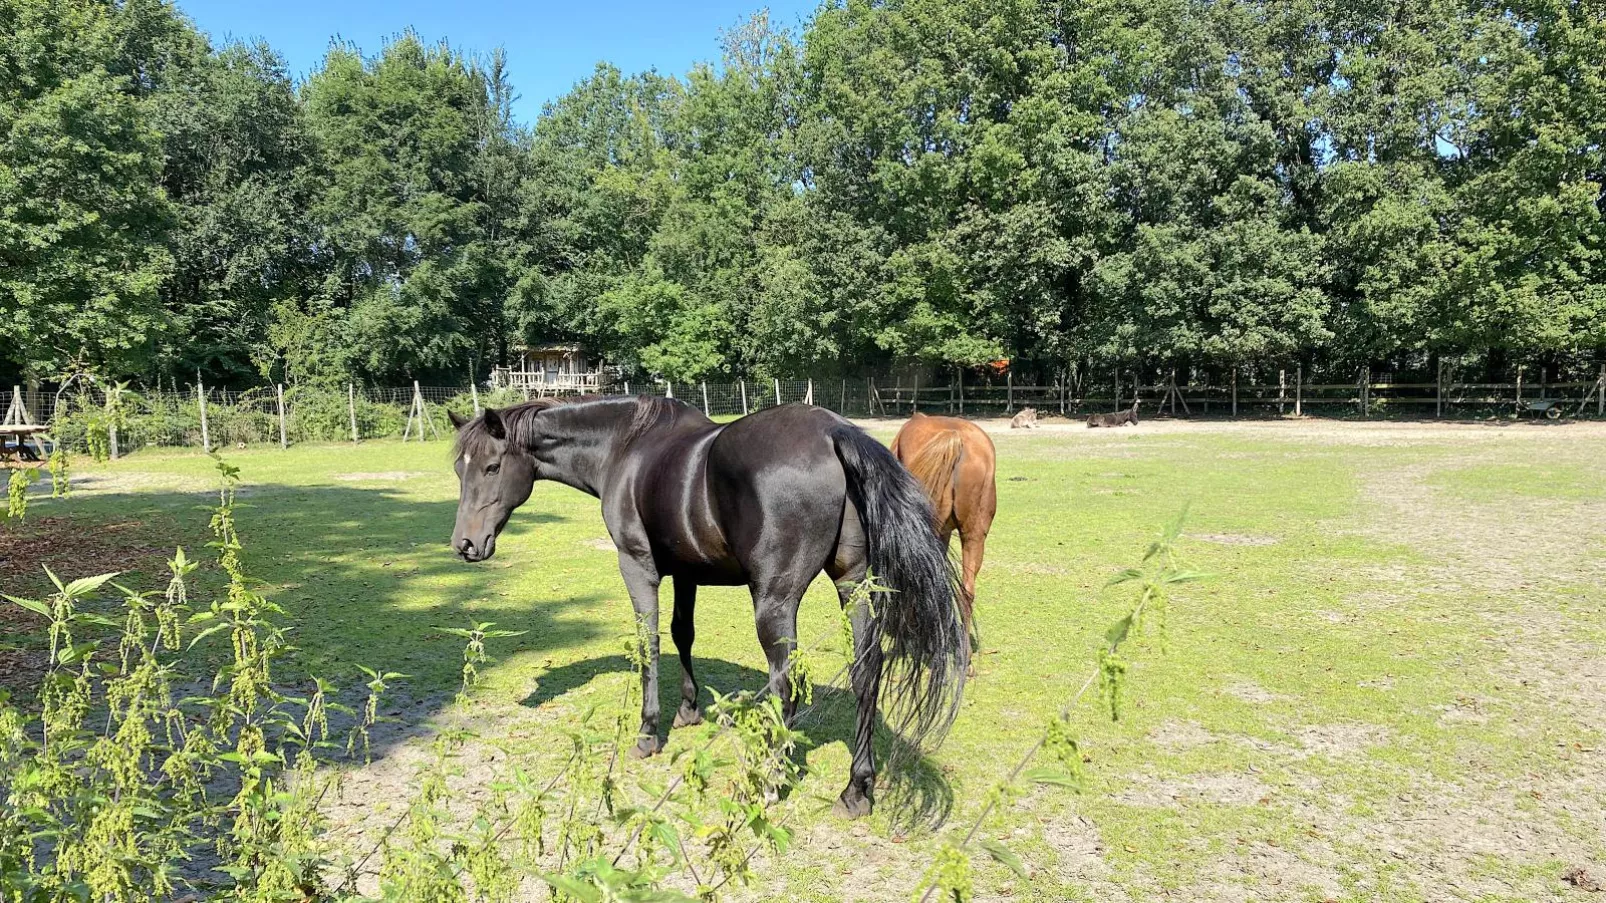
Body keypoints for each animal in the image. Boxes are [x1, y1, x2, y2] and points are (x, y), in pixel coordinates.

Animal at [446, 395, 957, 816]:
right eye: (459, 470)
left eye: (492, 467)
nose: (466, 545)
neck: (624, 447)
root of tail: (833, 432)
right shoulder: (686, 573)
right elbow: (681, 633)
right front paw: (689, 710)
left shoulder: (638, 566)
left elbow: (649, 643)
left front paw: (648, 733)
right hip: (855, 586)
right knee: (866, 673)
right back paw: (856, 790)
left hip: (775, 602)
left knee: (785, 682)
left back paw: (770, 781)